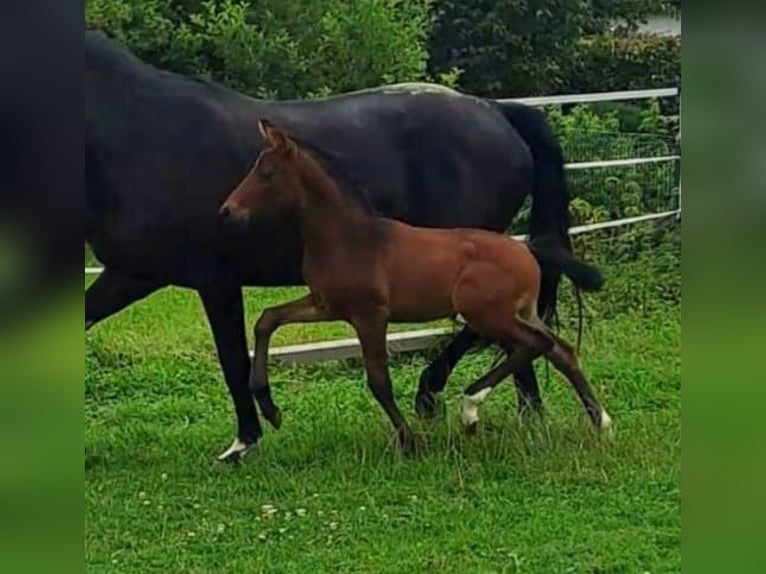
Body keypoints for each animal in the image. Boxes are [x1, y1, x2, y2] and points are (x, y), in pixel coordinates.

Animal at [220, 120, 612, 454]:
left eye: (267, 172)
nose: (227, 210)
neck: (349, 237)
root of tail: (527, 249)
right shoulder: (325, 304)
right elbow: (268, 319)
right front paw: (271, 409)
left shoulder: (370, 315)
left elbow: (378, 380)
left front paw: (409, 442)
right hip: (520, 312)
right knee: (560, 350)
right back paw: (601, 422)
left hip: (487, 314)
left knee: (537, 344)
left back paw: (470, 408)